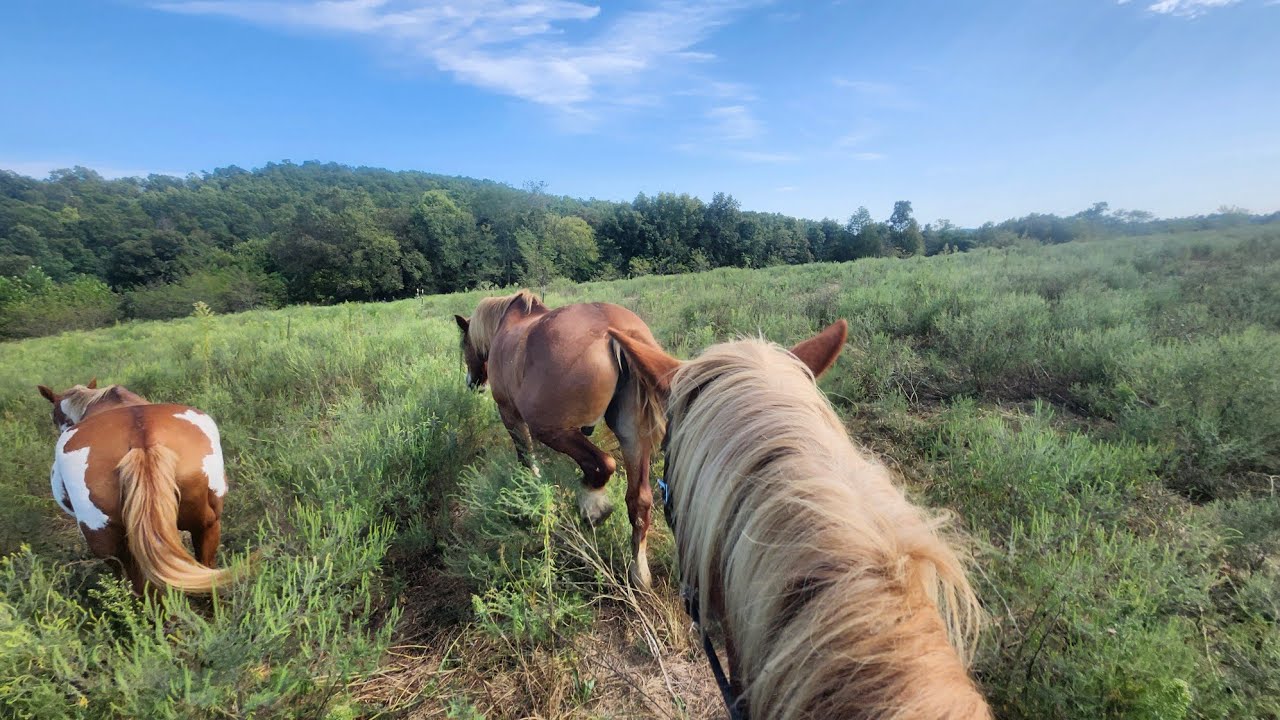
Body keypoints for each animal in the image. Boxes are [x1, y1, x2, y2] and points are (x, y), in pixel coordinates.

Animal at [455, 290, 668, 587]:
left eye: (464, 344)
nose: (472, 382)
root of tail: (615, 331)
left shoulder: (510, 415)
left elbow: (526, 456)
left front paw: (530, 492)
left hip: (552, 430)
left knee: (602, 465)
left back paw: (593, 509)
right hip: (633, 436)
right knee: (639, 500)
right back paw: (639, 572)